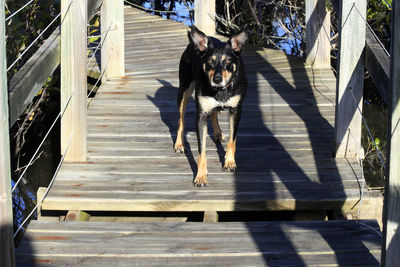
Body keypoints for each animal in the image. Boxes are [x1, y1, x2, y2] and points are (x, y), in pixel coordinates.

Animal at [174, 26, 247, 187]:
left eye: (228, 61)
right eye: (209, 61)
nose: (217, 79)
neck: (220, 91)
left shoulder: (236, 111)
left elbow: (232, 140)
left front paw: (229, 162)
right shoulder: (200, 116)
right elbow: (202, 151)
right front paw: (201, 176)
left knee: (214, 113)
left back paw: (218, 133)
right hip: (184, 91)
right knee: (181, 121)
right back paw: (179, 144)